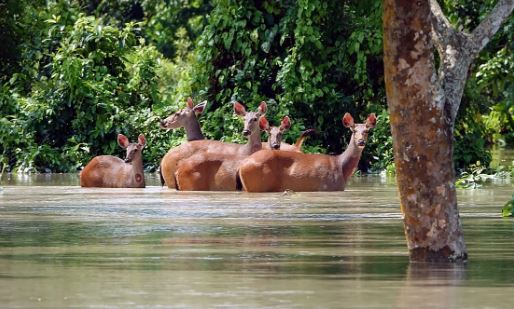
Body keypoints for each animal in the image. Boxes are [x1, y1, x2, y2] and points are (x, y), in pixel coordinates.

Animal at [237, 112, 376, 191]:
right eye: (353, 130)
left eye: (367, 131)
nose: (361, 142)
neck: (341, 166)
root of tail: (242, 165)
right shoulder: (329, 187)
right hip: (257, 185)